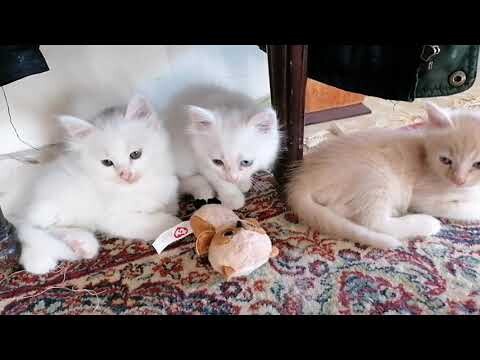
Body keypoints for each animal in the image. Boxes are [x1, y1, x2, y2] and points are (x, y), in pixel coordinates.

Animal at [11, 95, 180, 276]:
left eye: (135, 154)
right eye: (107, 162)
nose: (125, 175)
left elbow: (171, 204)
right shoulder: (114, 217)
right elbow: (151, 221)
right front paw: (172, 223)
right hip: (63, 206)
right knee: (36, 229)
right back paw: (79, 244)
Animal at [286, 101, 480, 248]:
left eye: (477, 164)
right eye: (445, 160)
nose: (459, 180)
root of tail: (302, 179)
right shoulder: (423, 197)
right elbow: (464, 208)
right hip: (377, 177)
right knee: (373, 222)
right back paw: (427, 223)